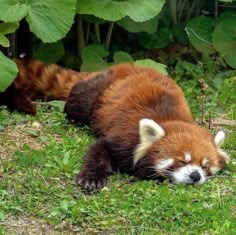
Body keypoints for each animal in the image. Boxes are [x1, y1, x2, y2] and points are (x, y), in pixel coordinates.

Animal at [64, 63, 229, 191]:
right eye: (182, 161)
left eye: (205, 166)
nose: (195, 176)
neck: (170, 120)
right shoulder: (125, 138)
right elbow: (99, 148)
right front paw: (91, 179)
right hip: (96, 92)